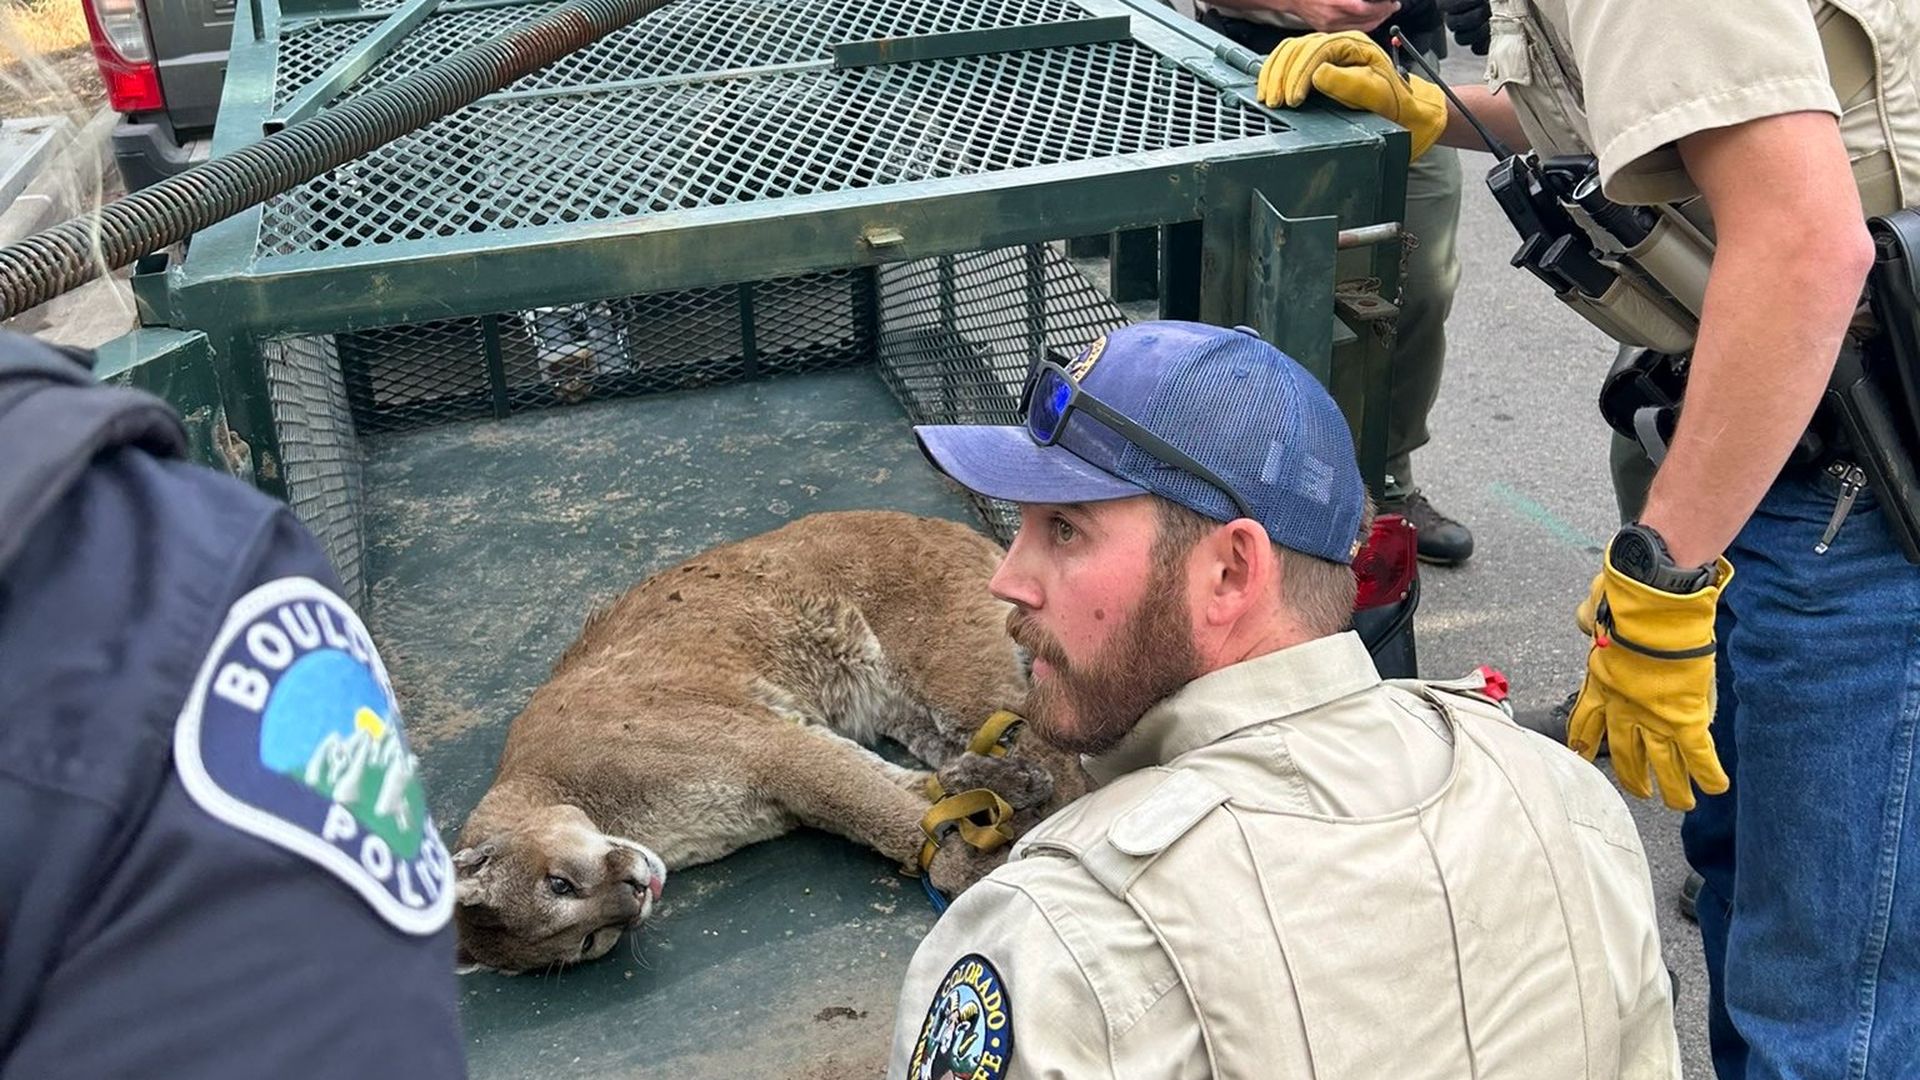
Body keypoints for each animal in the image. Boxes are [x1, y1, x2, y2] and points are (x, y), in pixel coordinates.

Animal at [451, 510, 1085, 972]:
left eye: (557, 884)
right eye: (590, 940)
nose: (636, 892)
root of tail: (947, 525)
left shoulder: (768, 750)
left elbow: (884, 812)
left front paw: (970, 867)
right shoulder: (793, 763)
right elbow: (891, 796)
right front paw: (969, 809)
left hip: (949, 674)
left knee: (1062, 760)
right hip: (904, 708)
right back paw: (997, 784)